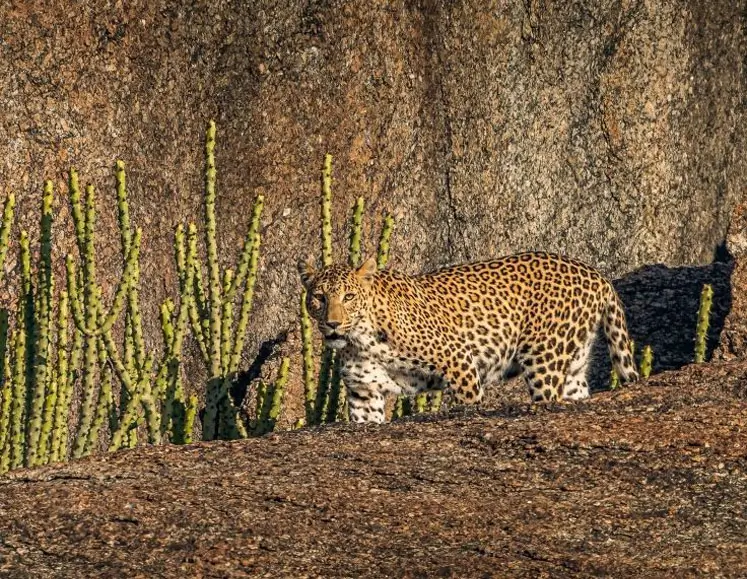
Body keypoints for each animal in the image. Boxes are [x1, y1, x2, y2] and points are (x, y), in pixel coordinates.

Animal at [299, 251, 638, 424]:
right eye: (319, 297)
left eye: (349, 296)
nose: (332, 324)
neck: (360, 339)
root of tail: (597, 275)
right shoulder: (364, 393)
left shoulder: (459, 362)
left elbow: (469, 402)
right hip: (574, 365)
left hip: (544, 359)